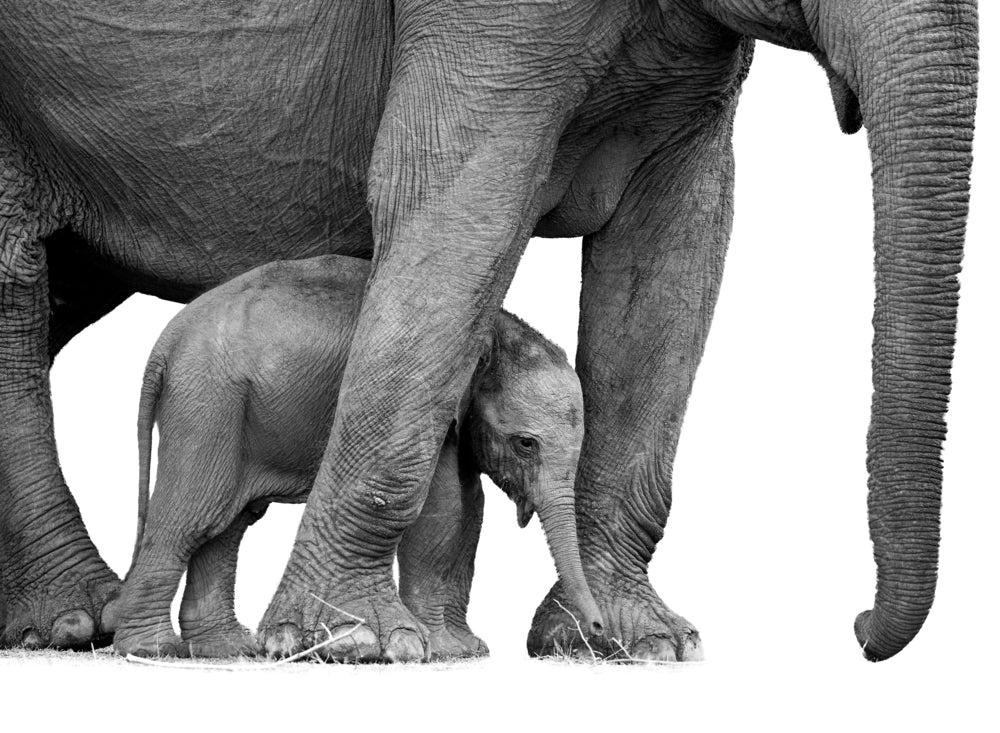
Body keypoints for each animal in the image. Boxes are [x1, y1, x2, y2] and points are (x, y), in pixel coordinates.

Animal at [105, 254, 601, 659]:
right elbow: (441, 512)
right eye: (526, 444)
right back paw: (152, 650)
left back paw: (226, 650)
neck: (497, 330)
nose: (596, 629)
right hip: (207, 404)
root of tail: (165, 344)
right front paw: (440, 649)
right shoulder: (438, 412)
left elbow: (469, 513)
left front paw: (469, 650)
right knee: (192, 515)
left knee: (228, 524)